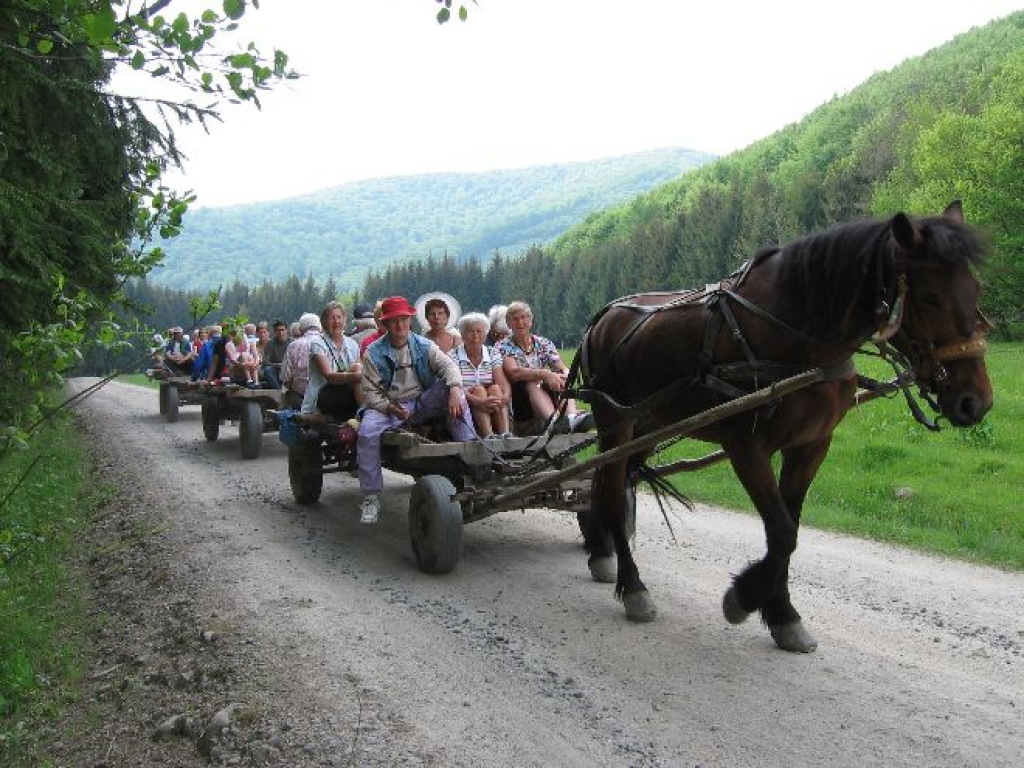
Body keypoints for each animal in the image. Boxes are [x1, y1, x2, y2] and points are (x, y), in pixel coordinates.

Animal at [581, 201, 995, 651]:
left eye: (976, 292)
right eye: (931, 298)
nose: (975, 402)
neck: (794, 333)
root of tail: (602, 318)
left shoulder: (811, 445)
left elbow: (790, 529)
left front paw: (782, 614)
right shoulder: (746, 448)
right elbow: (780, 533)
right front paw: (744, 597)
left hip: (647, 425)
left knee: (615, 484)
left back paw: (602, 552)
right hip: (615, 424)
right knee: (612, 497)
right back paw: (633, 586)